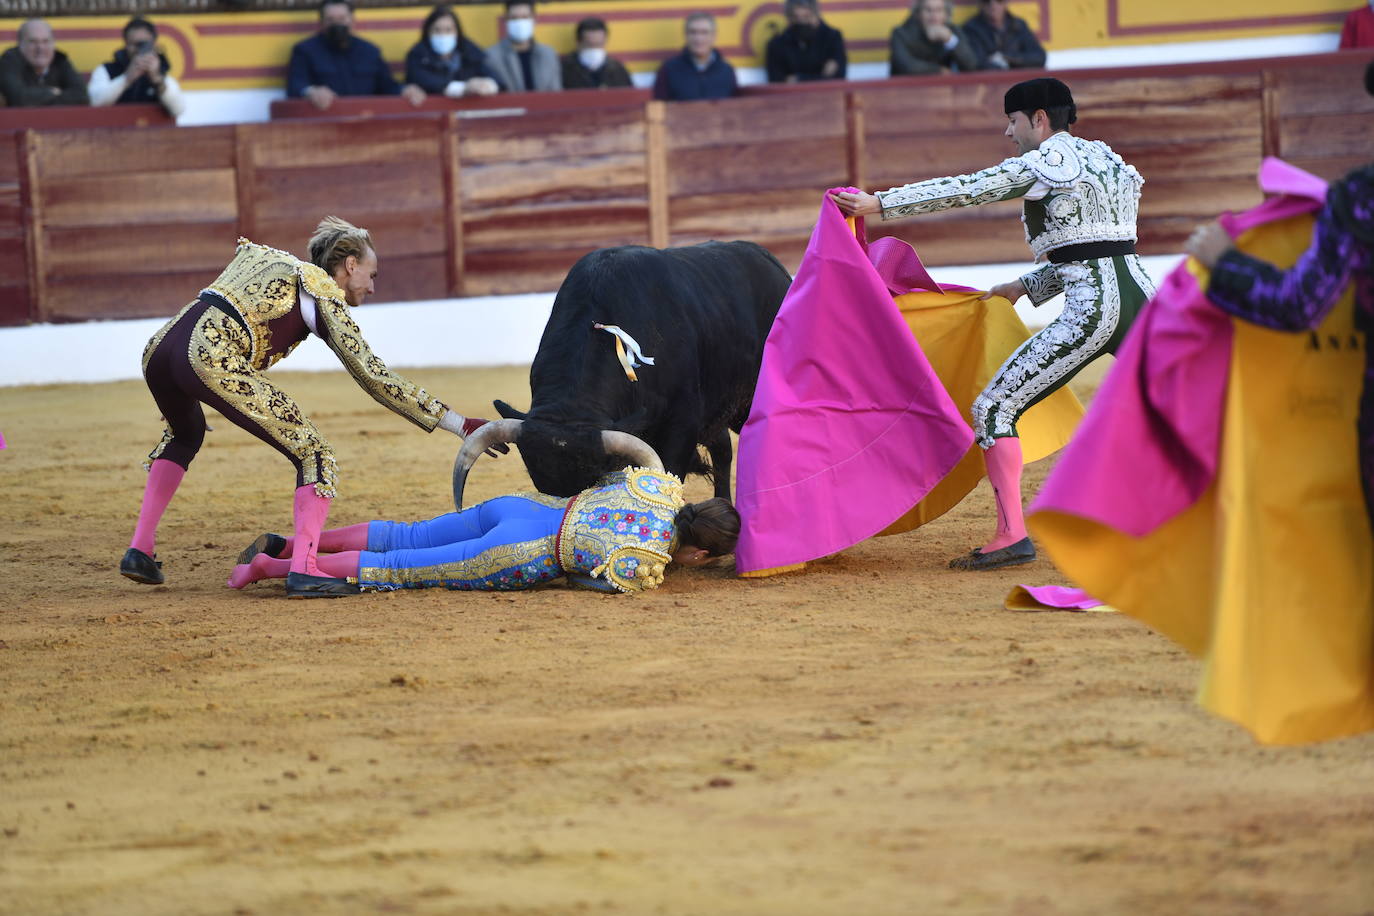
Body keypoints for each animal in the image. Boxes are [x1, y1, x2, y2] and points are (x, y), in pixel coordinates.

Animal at [494, 240, 796, 502]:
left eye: (594, 477)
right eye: (539, 482)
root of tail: (769, 261)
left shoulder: (682, 422)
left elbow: (670, 472)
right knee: (722, 449)